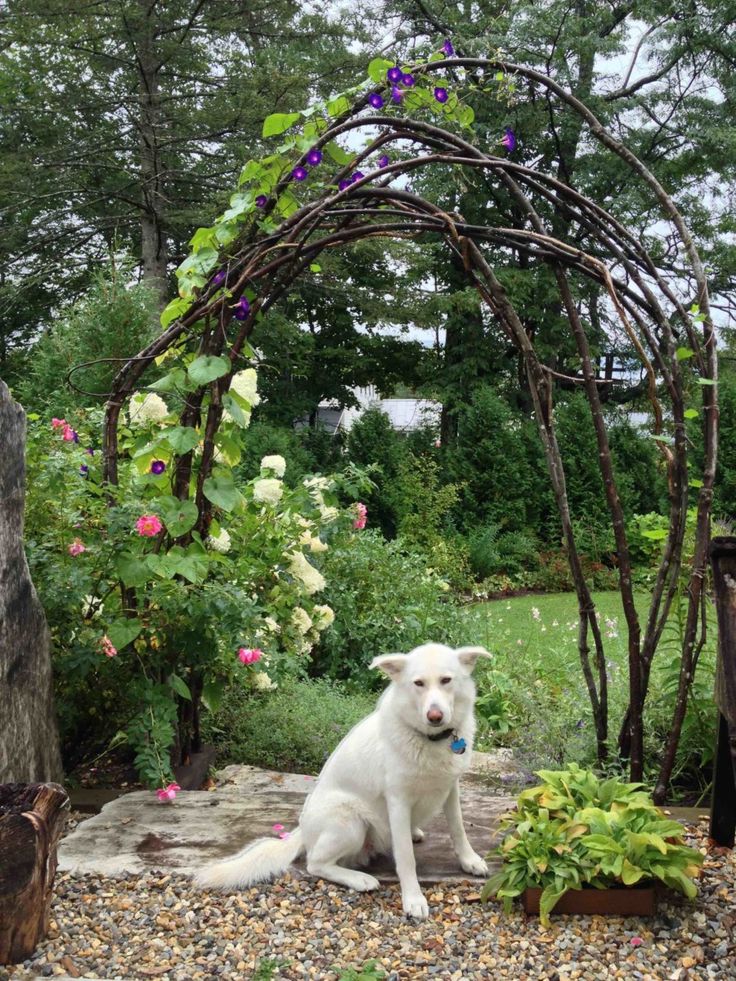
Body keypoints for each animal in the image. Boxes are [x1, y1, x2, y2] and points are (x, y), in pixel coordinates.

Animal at [198, 644, 492, 920]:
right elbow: (406, 858)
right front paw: (413, 898)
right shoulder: (398, 801)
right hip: (350, 821)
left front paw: (470, 861)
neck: (430, 739)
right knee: (315, 863)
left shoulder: (450, 789)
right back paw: (360, 879)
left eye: (446, 680)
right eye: (418, 683)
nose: (435, 716)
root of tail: (301, 831)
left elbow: (458, 829)